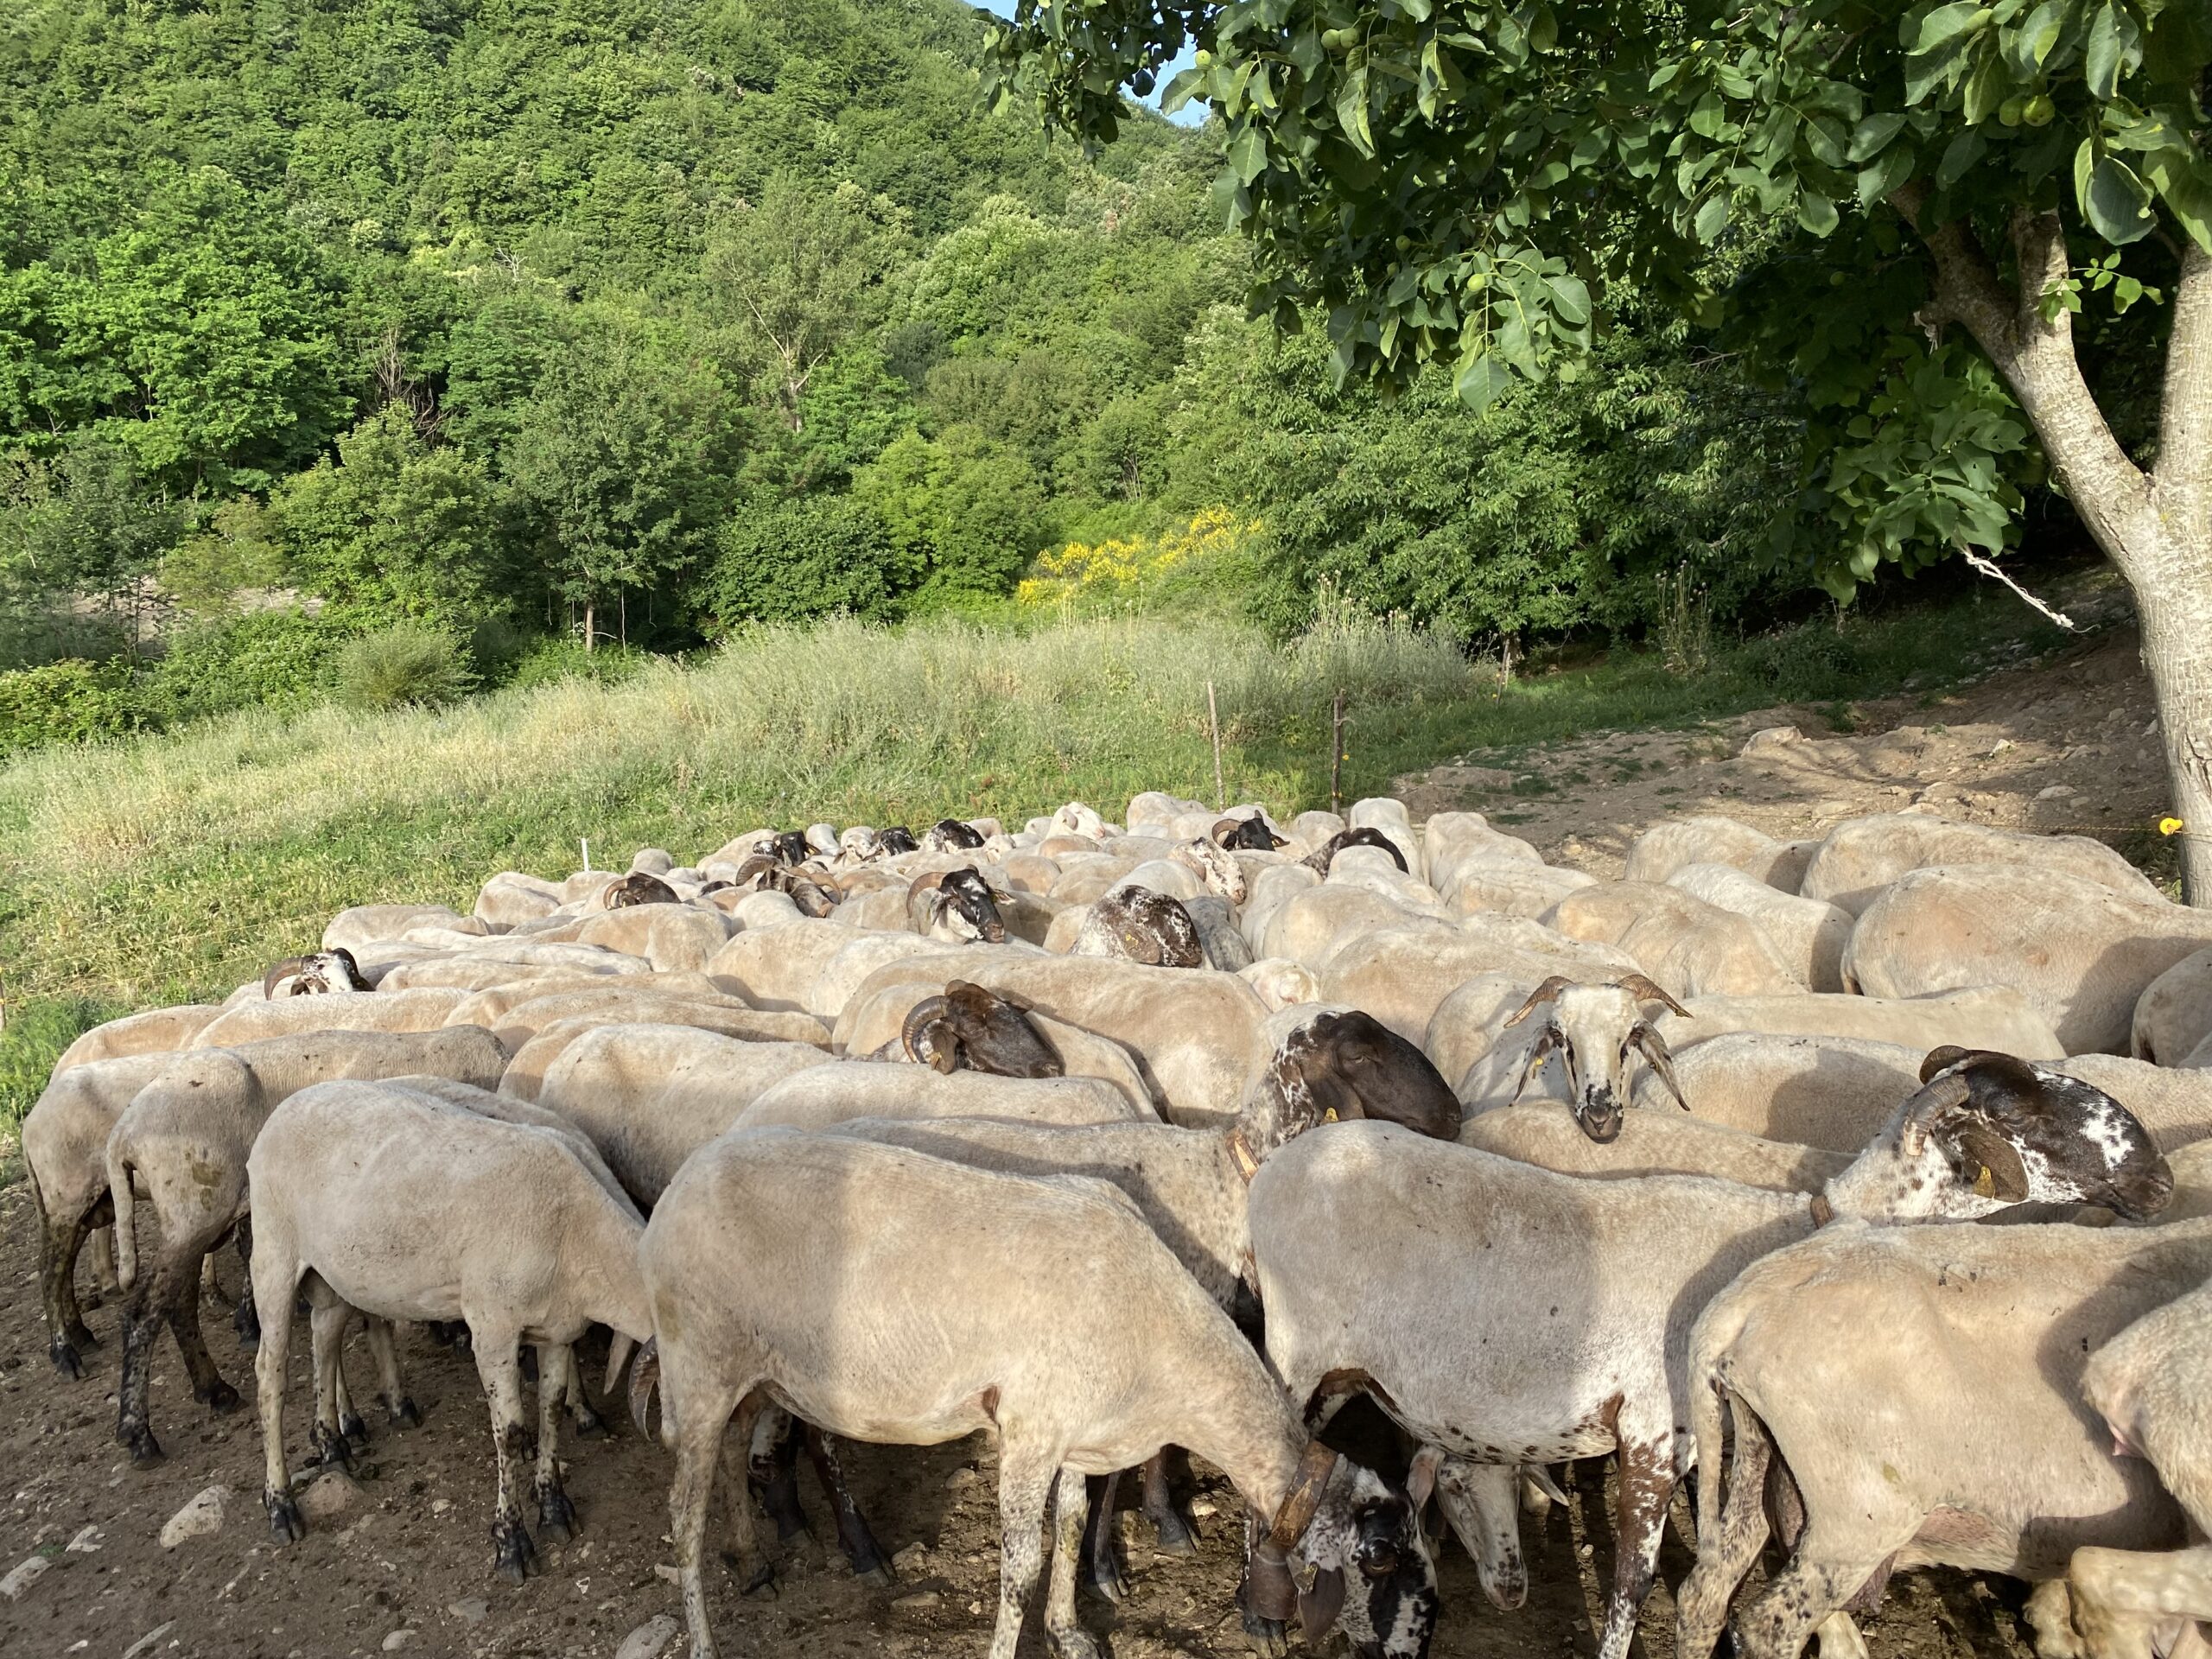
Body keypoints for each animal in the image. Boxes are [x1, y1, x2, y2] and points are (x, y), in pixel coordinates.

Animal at [102, 1025, 511, 1463]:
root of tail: (124, 1133)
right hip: (194, 1216)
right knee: (143, 1314)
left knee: (177, 1305)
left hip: (195, 1223)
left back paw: (213, 1390)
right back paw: (138, 1432)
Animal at [249, 1080, 653, 1581]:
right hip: (273, 1252)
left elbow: (552, 1407)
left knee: (324, 1338)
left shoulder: (556, 1329)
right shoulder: (492, 1327)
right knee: (271, 1375)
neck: (578, 1231)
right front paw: (511, 1543)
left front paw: (555, 1507)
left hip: (331, 1274)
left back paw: (334, 1445)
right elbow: (510, 1432)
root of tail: (286, 1106)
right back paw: (281, 1506)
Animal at [632, 1130, 1439, 1659]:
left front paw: (1068, 1631)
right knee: (680, 1515)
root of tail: (682, 1182)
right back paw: (703, 1637)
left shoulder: (1081, 1434)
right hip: (697, 1361)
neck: (1167, 1352)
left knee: (732, 1451)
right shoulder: (1029, 1429)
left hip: (751, 1370)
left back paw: (751, 1561)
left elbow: (1076, 1524)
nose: (1413, 1653)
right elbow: (1020, 1564)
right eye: (1381, 1559)